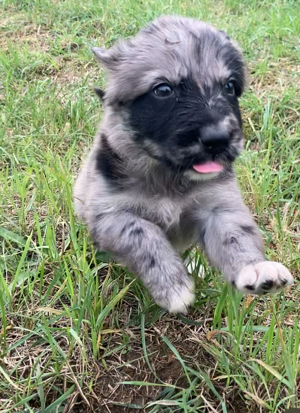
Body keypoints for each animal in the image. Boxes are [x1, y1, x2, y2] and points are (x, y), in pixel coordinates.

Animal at [74, 16, 294, 312]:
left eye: (229, 87)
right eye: (163, 90)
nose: (218, 140)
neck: (169, 175)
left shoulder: (220, 206)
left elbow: (235, 235)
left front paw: (255, 268)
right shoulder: (110, 214)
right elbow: (143, 234)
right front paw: (172, 287)